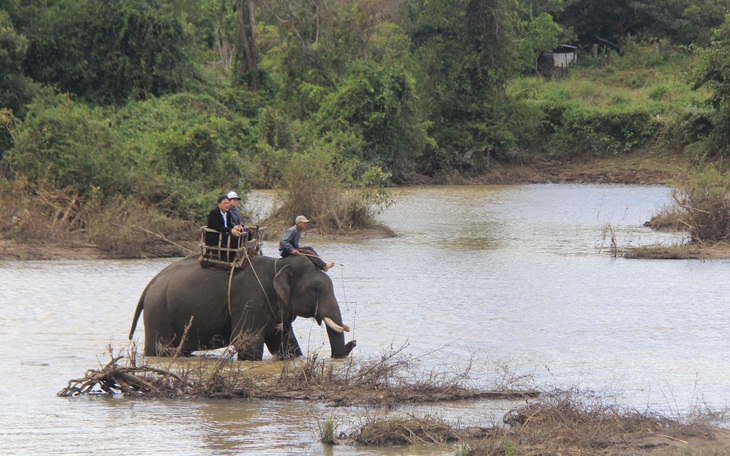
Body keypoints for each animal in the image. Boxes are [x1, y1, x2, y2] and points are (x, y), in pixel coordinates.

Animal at [131, 253, 358, 360]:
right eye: (316, 289)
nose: (354, 342)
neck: (278, 263)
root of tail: (149, 285)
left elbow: (285, 343)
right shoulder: (251, 297)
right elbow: (246, 342)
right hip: (158, 313)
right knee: (160, 348)